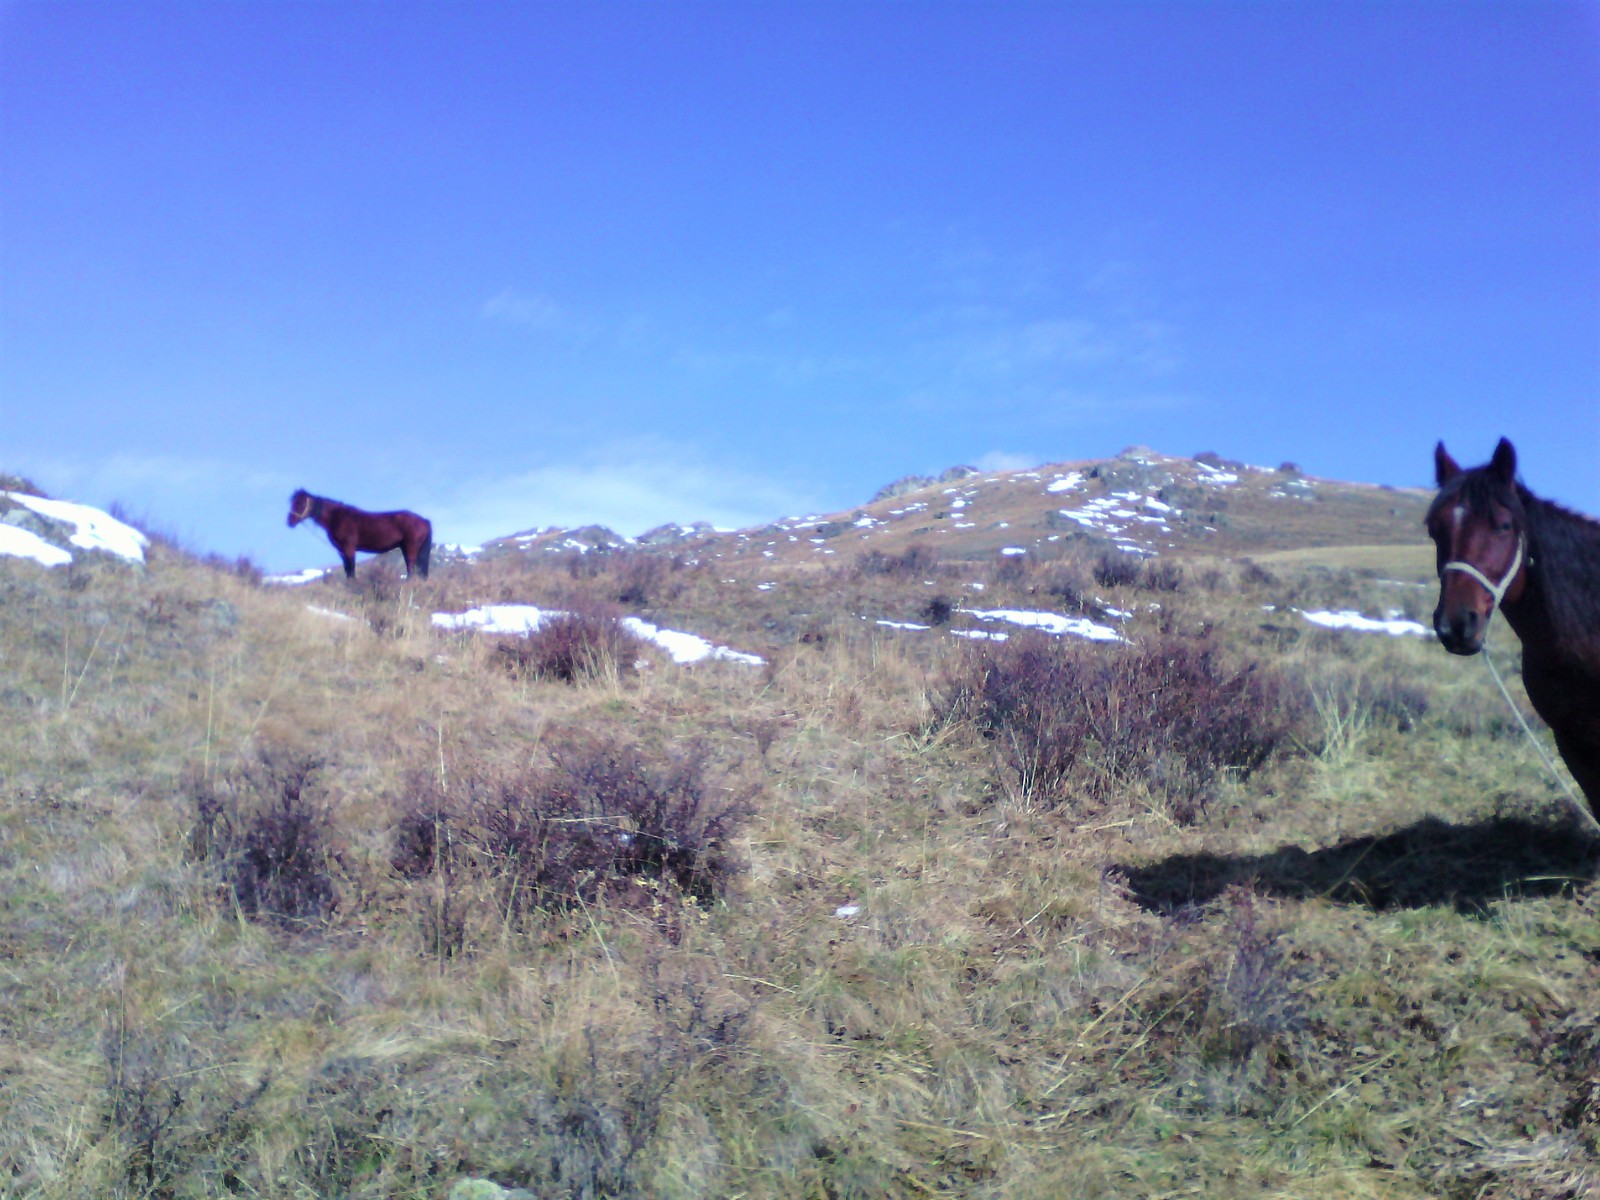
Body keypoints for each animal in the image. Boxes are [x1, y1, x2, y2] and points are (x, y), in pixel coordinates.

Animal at [284, 489, 428, 582]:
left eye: (300, 503)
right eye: (292, 502)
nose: (290, 521)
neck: (337, 517)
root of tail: (424, 520)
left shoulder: (349, 548)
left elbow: (351, 569)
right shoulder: (342, 551)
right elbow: (347, 569)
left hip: (410, 549)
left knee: (411, 568)